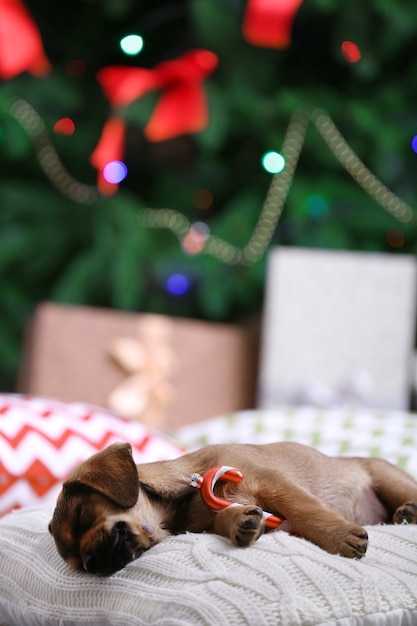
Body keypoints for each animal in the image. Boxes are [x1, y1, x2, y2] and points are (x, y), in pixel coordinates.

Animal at [49, 442, 417, 572]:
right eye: (78, 566)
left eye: (82, 516)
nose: (91, 564)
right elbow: (224, 519)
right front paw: (241, 521)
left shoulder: (271, 482)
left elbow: (305, 510)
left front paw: (338, 536)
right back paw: (404, 515)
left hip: (387, 478)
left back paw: (407, 511)